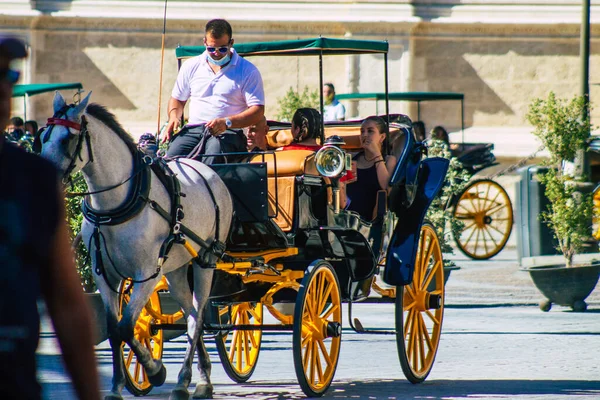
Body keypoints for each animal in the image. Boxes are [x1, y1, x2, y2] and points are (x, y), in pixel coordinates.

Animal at [39, 91, 232, 400]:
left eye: (67, 139)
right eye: (43, 136)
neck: (116, 205)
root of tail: (206, 169)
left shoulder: (146, 275)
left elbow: (128, 327)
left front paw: (155, 371)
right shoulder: (105, 276)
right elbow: (114, 330)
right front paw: (117, 386)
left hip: (206, 260)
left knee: (198, 316)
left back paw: (192, 381)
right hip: (176, 269)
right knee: (192, 315)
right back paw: (193, 378)